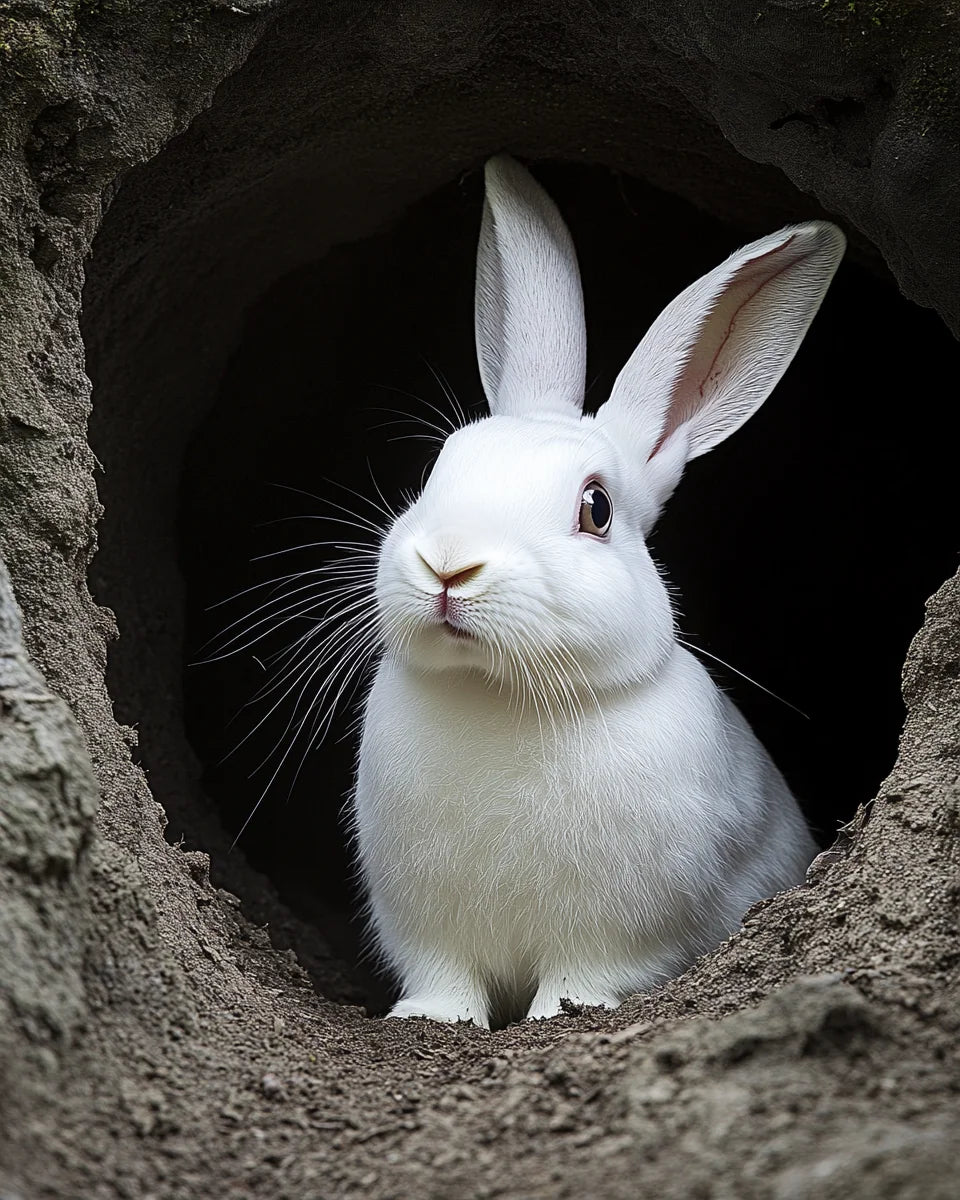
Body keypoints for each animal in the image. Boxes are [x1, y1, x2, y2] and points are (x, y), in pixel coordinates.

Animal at [352, 154, 842, 1028]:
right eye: (443, 465)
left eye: (596, 509)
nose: (448, 567)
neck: (501, 695)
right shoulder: (428, 933)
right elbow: (445, 980)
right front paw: (430, 1019)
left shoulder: (620, 935)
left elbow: (584, 977)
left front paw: (558, 1014)